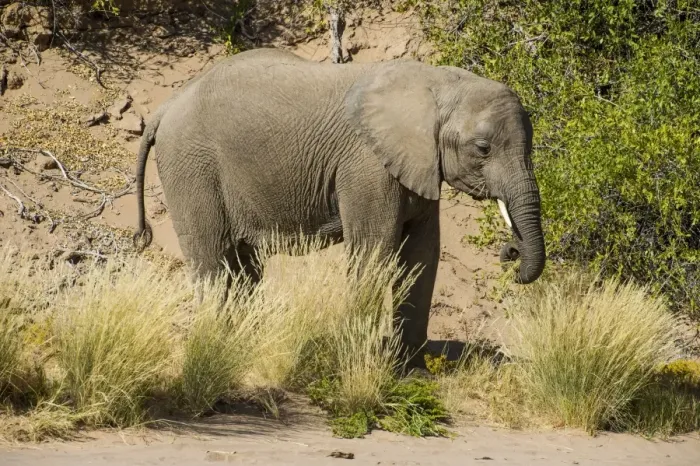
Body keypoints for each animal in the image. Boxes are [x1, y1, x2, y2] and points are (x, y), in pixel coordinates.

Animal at [133, 47, 546, 366]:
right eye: (483, 149)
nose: (510, 252)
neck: (439, 84)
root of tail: (163, 109)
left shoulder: (419, 165)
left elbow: (422, 255)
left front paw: (411, 369)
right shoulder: (367, 167)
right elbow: (374, 251)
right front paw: (361, 360)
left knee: (243, 264)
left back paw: (245, 345)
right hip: (192, 166)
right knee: (212, 258)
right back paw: (217, 345)